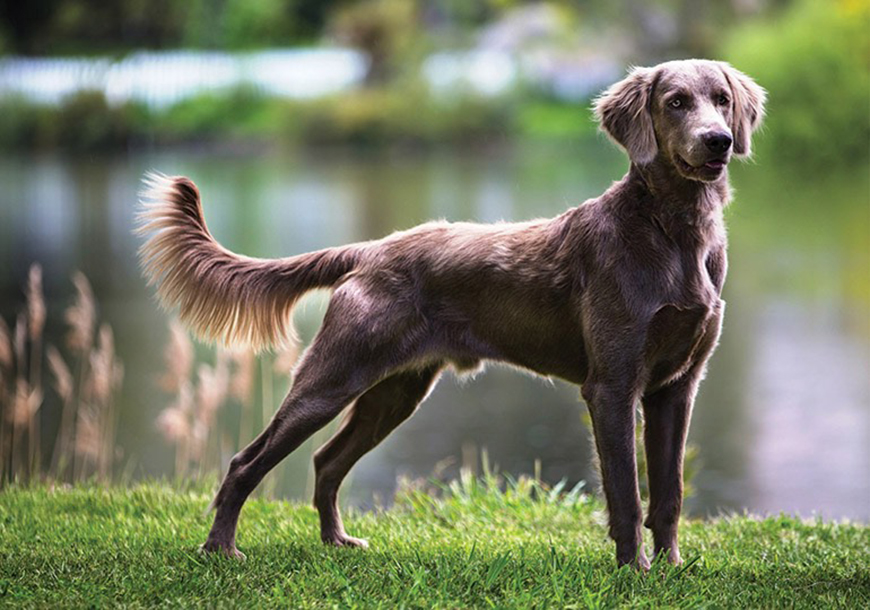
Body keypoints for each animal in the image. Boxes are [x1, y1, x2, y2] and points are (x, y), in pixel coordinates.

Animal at [135, 59, 764, 568]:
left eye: (722, 99)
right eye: (675, 101)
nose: (717, 141)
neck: (673, 231)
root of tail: (367, 251)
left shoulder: (676, 388)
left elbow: (669, 492)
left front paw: (672, 569)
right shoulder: (612, 386)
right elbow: (628, 495)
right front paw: (635, 572)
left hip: (394, 392)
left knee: (326, 461)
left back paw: (337, 542)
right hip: (331, 379)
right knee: (248, 461)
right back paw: (220, 548)